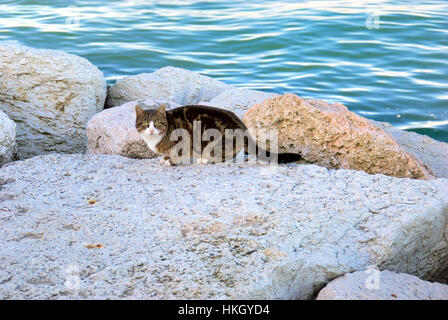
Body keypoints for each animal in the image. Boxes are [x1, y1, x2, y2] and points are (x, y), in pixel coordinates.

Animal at [134, 104, 300, 166]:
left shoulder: (181, 142)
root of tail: (242, 126)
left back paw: (204, 159)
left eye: (156, 123)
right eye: (145, 124)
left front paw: (170, 161)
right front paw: (165, 158)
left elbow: (176, 154)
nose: (151, 130)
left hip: (215, 143)